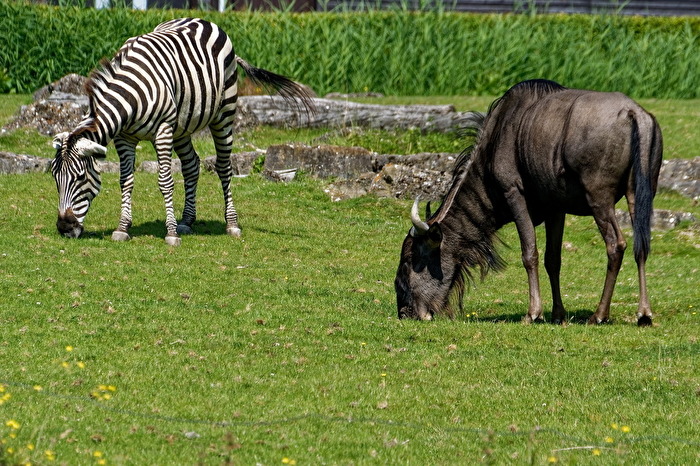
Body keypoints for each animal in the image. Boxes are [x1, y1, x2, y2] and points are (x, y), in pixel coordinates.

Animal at [51, 17, 314, 246]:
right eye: (55, 178)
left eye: (80, 178)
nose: (64, 229)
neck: (129, 96)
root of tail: (202, 19)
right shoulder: (125, 138)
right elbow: (126, 181)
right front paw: (122, 228)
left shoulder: (163, 131)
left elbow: (165, 181)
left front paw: (170, 234)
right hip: (183, 126)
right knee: (191, 165)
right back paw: (186, 220)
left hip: (223, 114)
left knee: (224, 167)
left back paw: (231, 224)